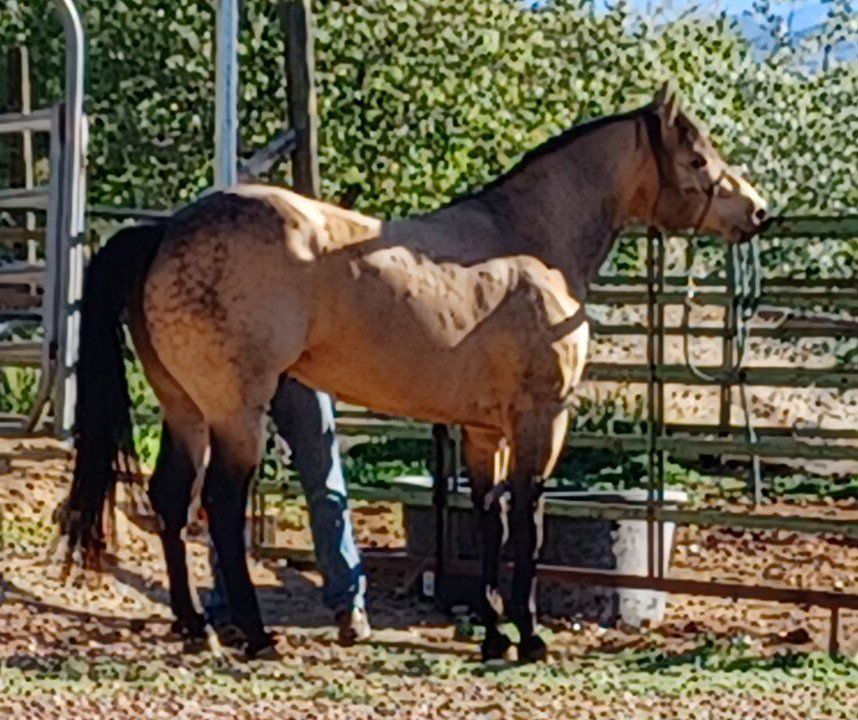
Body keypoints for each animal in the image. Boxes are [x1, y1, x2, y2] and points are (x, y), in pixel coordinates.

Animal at [61, 84, 768, 662]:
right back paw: (256, 636)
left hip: (185, 410)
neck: (529, 241)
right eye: (698, 159)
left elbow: (489, 519)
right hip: (235, 413)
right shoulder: (542, 419)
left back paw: (194, 625)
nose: (759, 212)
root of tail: (166, 232)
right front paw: (529, 635)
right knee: (220, 504)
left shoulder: (485, 432)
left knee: (170, 500)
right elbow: (530, 521)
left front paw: (492, 632)